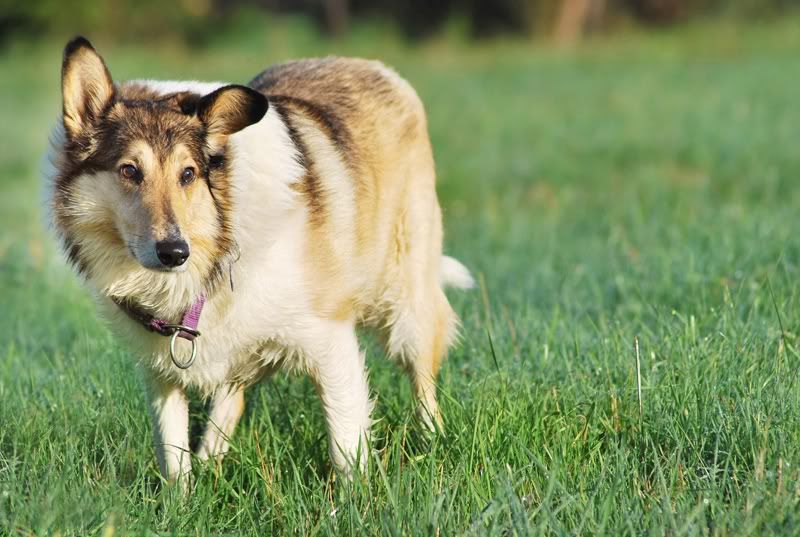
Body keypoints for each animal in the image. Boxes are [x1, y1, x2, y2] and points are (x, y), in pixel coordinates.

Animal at [47, 35, 472, 484]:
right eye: (129, 171)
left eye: (188, 174)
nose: (175, 252)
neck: (217, 253)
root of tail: (372, 66)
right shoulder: (162, 373)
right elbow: (175, 459)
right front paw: (186, 496)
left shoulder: (331, 344)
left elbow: (346, 446)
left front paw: (357, 498)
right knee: (230, 400)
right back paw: (211, 460)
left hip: (407, 308)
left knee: (423, 382)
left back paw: (433, 441)